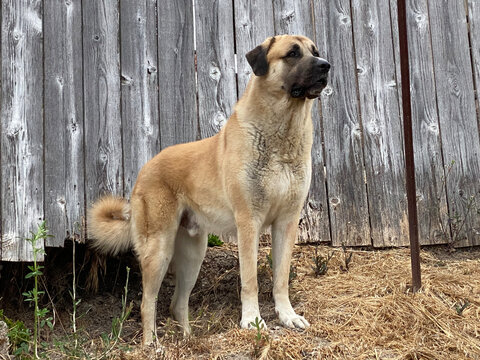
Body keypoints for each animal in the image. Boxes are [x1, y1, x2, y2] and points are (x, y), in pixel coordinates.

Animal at [88, 34, 328, 346]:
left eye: (315, 52)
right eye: (292, 54)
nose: (326, 66)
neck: (281, 132)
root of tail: (145, 168)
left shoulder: (287, 223)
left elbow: (281, 278)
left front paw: (287, 316)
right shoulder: (248, 222)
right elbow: (249, 279)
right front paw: (252, 321)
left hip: (193, 254)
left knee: (177, 303)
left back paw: (188, 339)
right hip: (159, 249)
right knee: (147, 302)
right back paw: (152, 344)